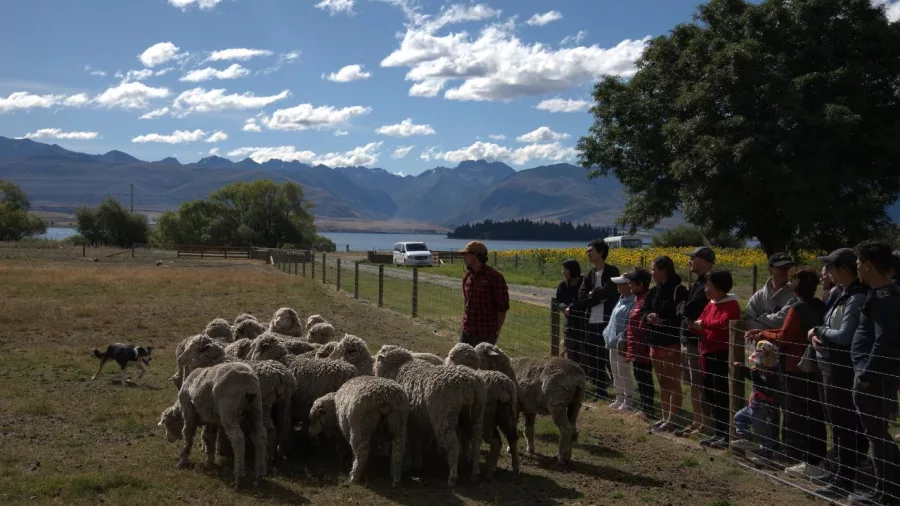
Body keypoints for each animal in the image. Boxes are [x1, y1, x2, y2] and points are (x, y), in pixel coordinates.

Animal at [157, 361, 267, 490]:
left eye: (168, 424)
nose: (168, 439)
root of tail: (247, 381)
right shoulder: (211, 419)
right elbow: (209, 437)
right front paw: (209, 461)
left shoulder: (189, 412)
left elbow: (188, 436)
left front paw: (182, 460)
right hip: (256, 408)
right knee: (260, 436)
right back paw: (260, 474)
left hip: (229, 410)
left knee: (238, 438)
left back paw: (238, 477)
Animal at [374, 345, 486, 487]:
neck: (398, 368)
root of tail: (471, 383)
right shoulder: (416, 420)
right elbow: (416, 441)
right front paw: (417, 462)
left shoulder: (406, 420)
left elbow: (408, 443)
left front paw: (406, 464)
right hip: (478, 415)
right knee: (476, 443)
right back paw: (475, 473)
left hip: (444, 417)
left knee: (454, 447)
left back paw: (452, 478)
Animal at [444, 343, 520, 478]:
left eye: (452, 356)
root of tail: (505, 387)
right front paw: (467, 457)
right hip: (507, 415)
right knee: (512, 437)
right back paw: (515, 467)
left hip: (487, 418)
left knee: (496, 441)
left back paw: (490, 471)